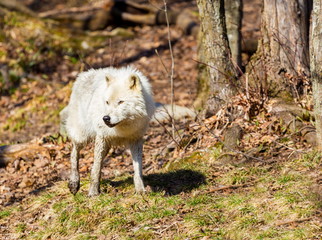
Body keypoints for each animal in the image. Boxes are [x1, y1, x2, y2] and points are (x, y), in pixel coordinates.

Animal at [61, 66, 156, 196]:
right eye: (107, 102)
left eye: (120, 102)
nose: (105, 118)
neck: (122, 128)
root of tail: (83, 74)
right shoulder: (102, 137)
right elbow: (95, 170)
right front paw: (93, 193)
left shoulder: (136, 139)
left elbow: (138, 170)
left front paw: (140, 190)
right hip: (82, 135)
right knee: (74, 153)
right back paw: (74, 182)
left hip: (106, 146)